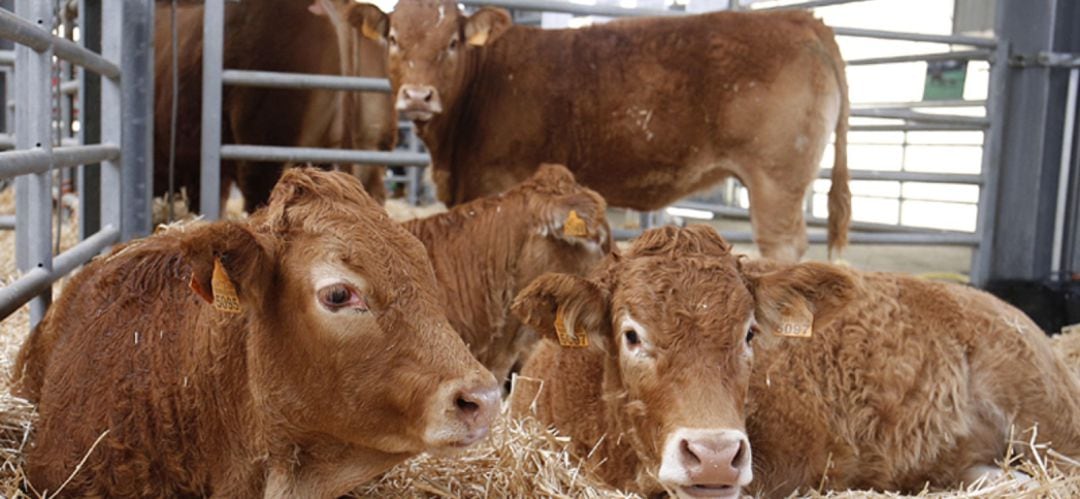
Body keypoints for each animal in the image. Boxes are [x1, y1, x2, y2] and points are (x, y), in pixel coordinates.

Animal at [347, 1, 851, 261]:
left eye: (452, 42)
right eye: (393, 39)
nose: (418, 96)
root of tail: (800, 18)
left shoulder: (498, 183)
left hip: (776, 179)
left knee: (783, 248)